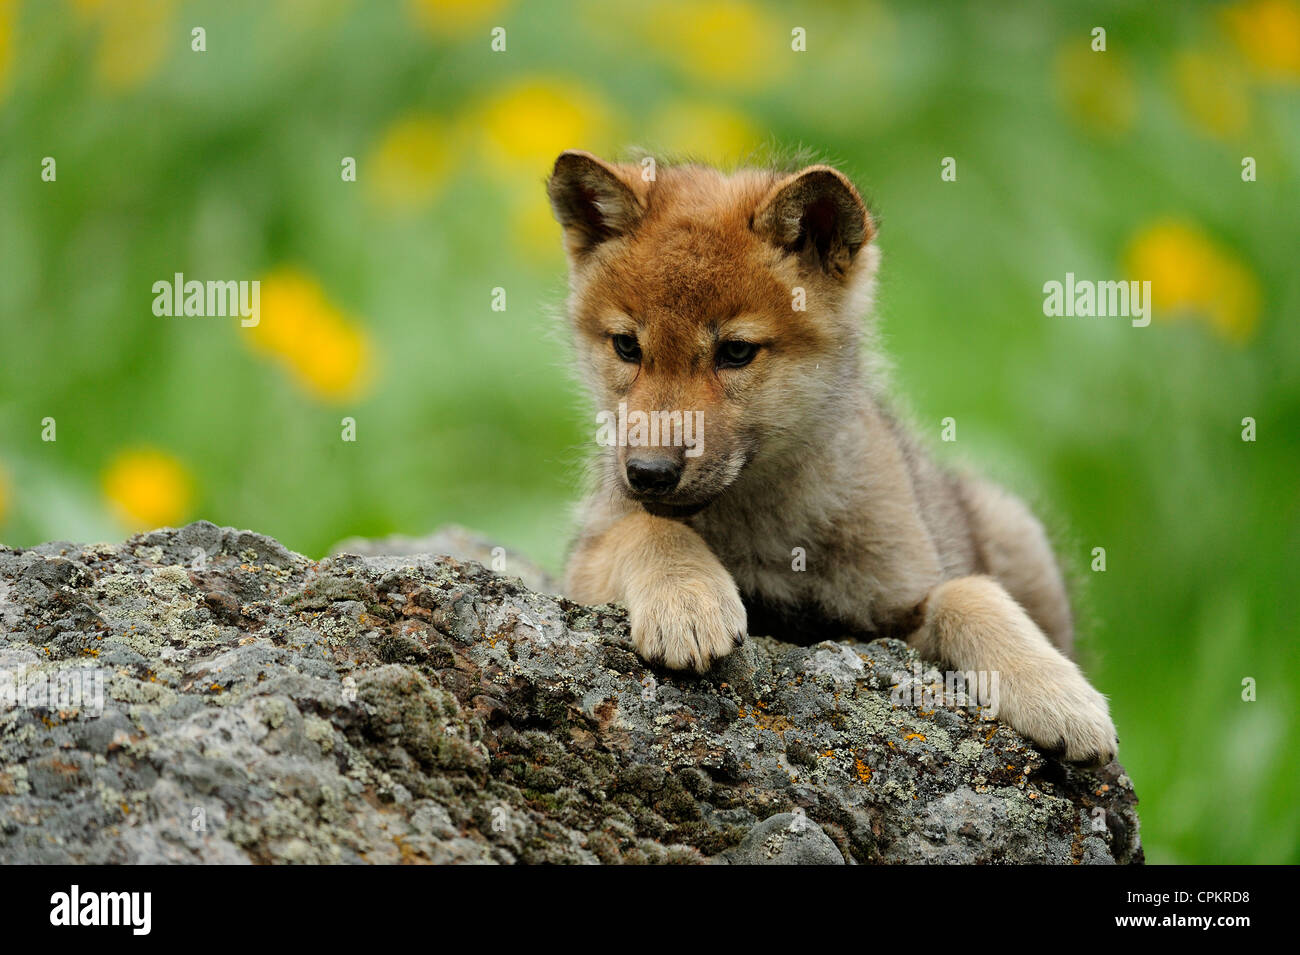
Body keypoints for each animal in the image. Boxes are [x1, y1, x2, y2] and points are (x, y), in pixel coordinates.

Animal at [547, 150, 1117, 765]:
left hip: (1016, 529)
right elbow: (648, 530)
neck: (764, 529)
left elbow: (968, 593)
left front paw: (1055, 694)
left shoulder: (889, 614)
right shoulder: (582, 566)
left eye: (736, 352)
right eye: (627, 346)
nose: (648, 474)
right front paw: (687, 600)